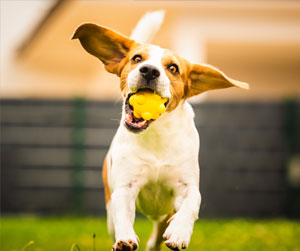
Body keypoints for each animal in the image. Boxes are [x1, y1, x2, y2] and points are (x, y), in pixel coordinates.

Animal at [72, 10, 248, 250]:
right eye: (137, 59)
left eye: (173, 68)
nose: (149, 70)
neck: (156, 135)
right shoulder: (125, 187)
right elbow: (123, 214)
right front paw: (125, 238)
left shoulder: (186, 186)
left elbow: (191, 204)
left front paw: (180, 232)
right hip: (110, 214)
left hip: (165, 214)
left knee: (158, 234)